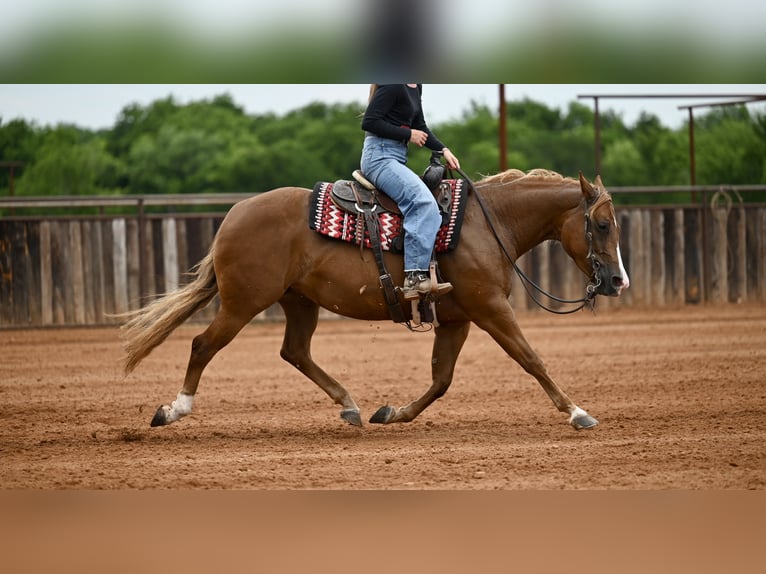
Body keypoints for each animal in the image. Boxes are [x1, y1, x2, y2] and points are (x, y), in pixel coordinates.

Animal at [120, 169, 629, 431]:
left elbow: (441, 379)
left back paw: (350, 405)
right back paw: (173, 410)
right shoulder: (490, 308)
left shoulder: (457, 318)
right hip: (243, 303)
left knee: (294, 351)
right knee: (203, 345)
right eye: (603, 225)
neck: (485, 223)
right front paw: (578, 412)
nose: (617, 281)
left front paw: (394, 412)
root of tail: (233, 216)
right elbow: (531, 359)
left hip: (298, 301)